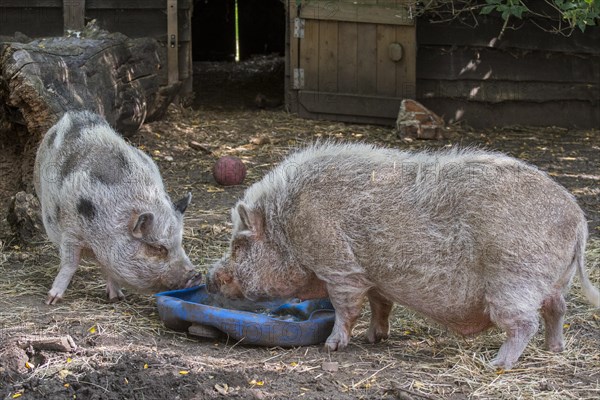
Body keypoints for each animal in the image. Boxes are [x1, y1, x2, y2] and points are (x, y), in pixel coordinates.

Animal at [34, 111, 200, 304]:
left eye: (180, 243)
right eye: (158, 248)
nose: (196, 275)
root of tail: (74, 115)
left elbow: (109, 270)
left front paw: (116, 298)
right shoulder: (71, 231)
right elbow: (70, 264)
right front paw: (51, 300)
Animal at [207, 142, 600, 370]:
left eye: (239, 245)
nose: (211, 277)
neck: (288, 225)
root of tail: (577, 220)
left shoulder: (340, 267)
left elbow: (345, 310)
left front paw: (333, 347)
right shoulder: (374, 276)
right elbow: (381, 305)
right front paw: (374, 338)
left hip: (514, 280)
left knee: (525, 324)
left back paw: (496, 364)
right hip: (554, 282)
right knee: (557, 309)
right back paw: (554, 350)